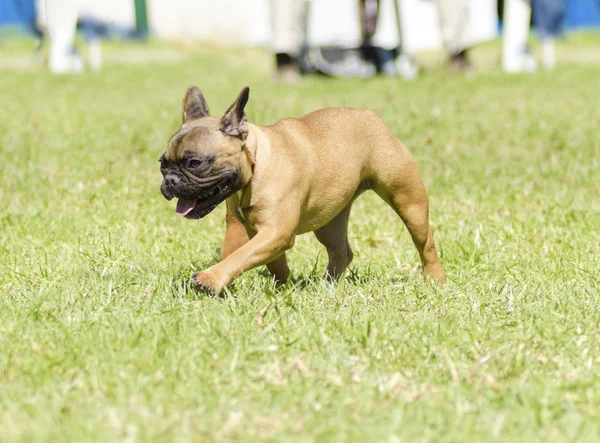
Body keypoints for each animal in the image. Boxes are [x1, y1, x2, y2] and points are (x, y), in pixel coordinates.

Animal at [159, 86, 446, 294]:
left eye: (195, 163)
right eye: (162, 164)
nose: (170, 180)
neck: (257, 162)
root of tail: (372, 116)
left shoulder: (276, 231)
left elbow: (241, 255)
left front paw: (210, 279)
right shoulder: (258, 231)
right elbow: (266, 259)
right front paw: (284, 286)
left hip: (408, 201)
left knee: (425, 242)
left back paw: (436, 280)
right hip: (329, 220)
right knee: (341, 252)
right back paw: (327, 286)